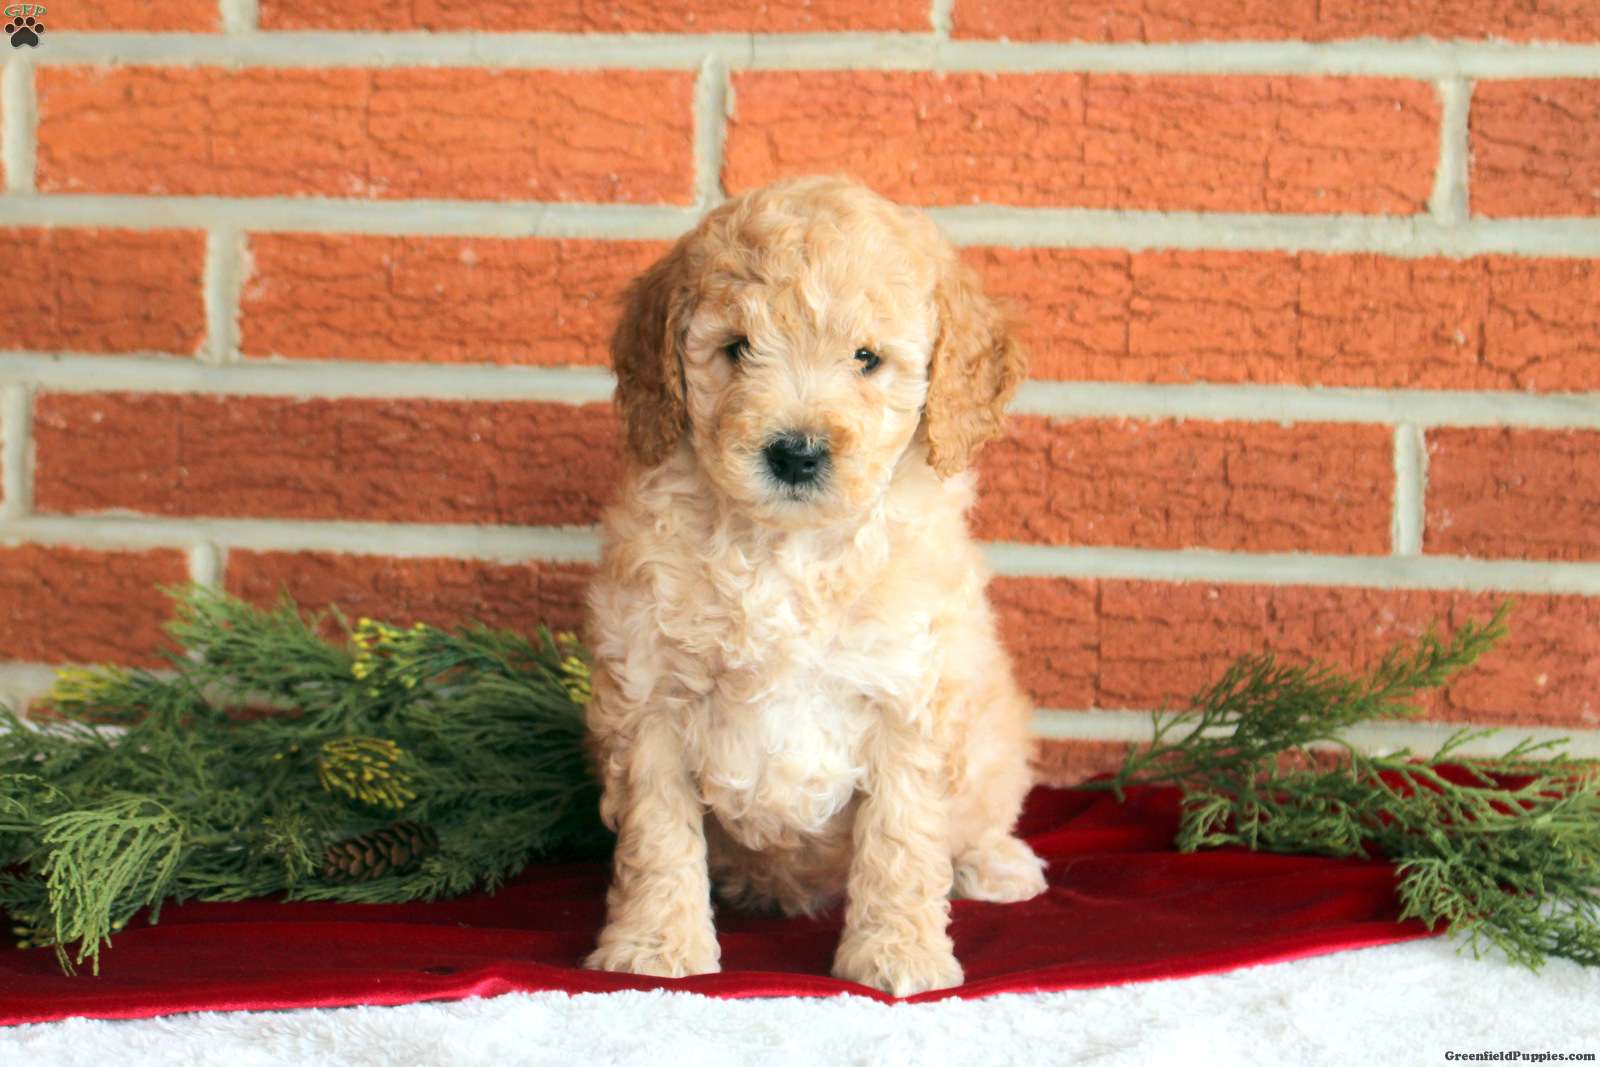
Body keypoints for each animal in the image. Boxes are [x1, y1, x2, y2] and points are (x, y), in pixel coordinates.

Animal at [581, 176, 1046, 997]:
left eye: (867, 358)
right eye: (736, 349)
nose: (795, 452)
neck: (786, 551)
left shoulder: (910, 697)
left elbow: (901, 840)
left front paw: (897, 954)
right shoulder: (649, 697)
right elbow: (657, 834)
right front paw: (655, 946)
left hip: (995, 738)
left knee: (979, 818)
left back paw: (998, 865)